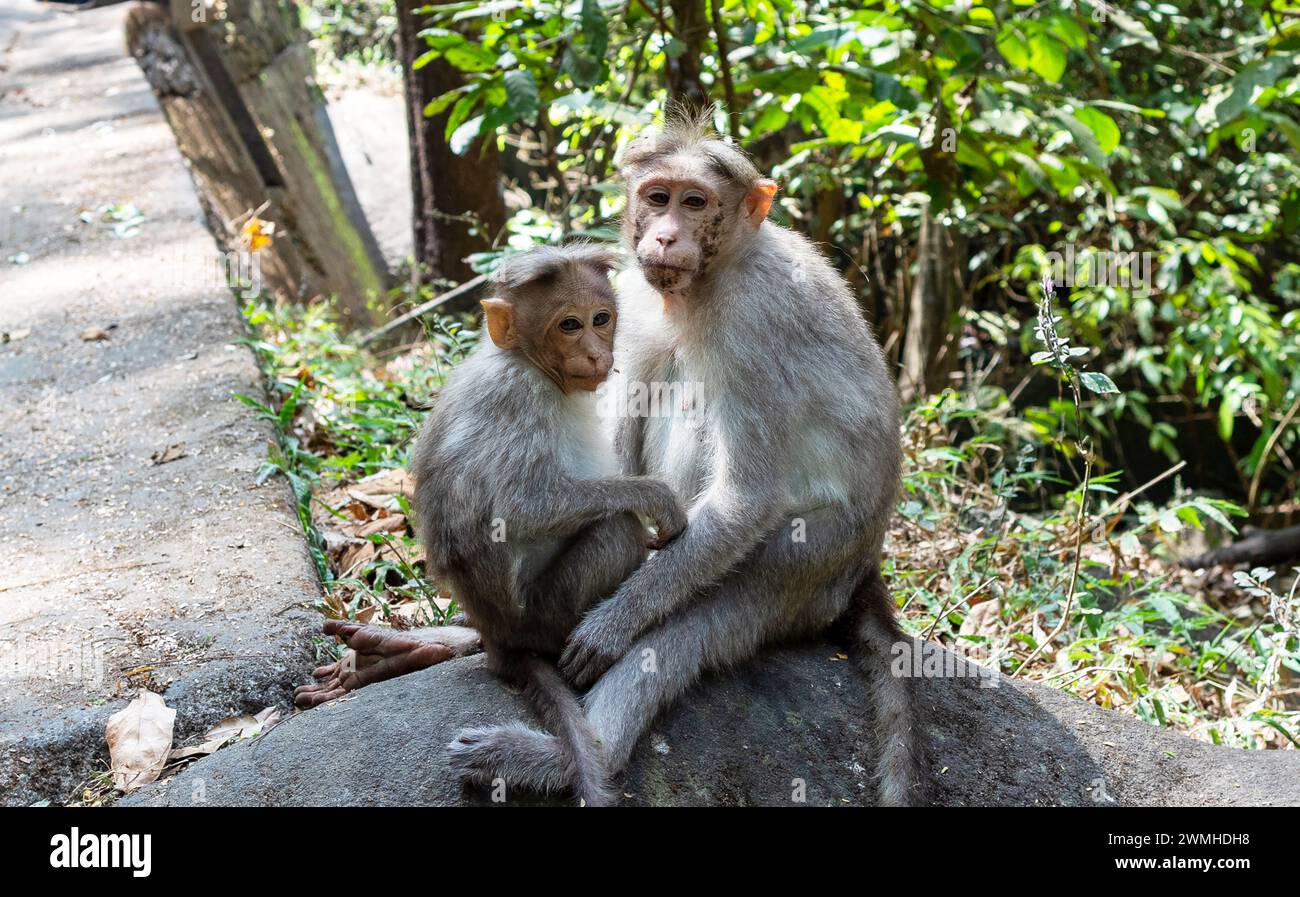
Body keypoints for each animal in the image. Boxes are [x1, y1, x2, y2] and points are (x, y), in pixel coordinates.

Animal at [402, 242, 686, 807]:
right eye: (568, 325)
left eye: (601, 319)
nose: (597, 353)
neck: (524, 361)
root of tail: (499, 636)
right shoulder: (518, 398)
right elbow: (520, 507)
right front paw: (656, 496)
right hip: (544, 614)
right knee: (615, 528)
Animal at [444, 112, 924, 806]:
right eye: (657, 197)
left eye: (695, 202)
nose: (666, 234)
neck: (711, 278)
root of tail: (864, 566)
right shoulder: (634, 301)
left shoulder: (753, 319)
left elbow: (747, 496)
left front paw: (614, 622)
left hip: (813, 559)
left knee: (699, 611)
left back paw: (564, 757)